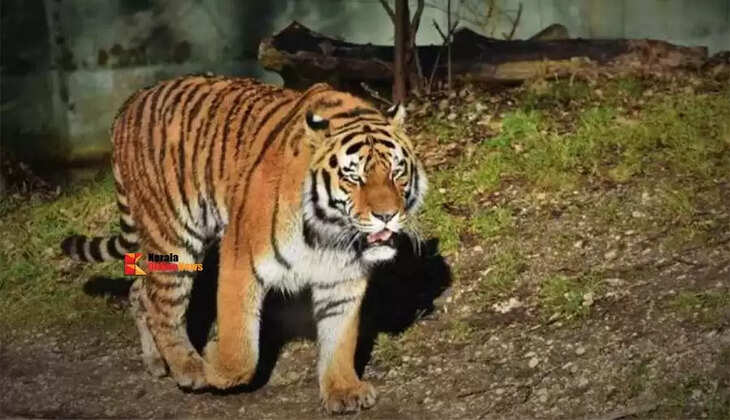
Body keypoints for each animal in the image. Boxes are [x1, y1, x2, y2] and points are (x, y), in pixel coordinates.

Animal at [60, 75, 427, 413]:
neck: (329, 231)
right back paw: (188, 368)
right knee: (163, 306)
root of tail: (132, 101)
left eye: (397, 172)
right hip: (174, 236)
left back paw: (156, 362)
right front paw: (213, 360)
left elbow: (340, 337)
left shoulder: (343, 278)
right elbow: (241, 350)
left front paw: (343, 389)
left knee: (140, 291)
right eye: (354, 177)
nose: (387, 215)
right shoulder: (241, 259)